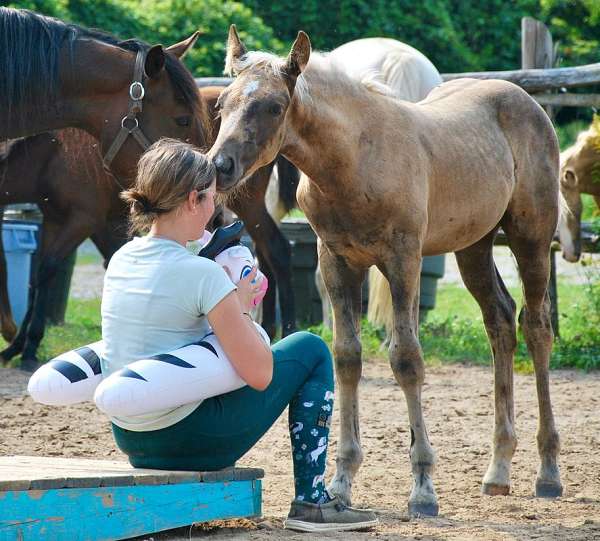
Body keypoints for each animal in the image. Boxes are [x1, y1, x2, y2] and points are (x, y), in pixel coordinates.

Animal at [210, 28, 564, 516]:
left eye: (274, 107)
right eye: (222, 104)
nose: (218, 166)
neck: (353, 162)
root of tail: (526, 100)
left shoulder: (403, 260)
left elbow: (407, 359)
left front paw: (423, 488)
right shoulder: (336, 262)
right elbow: (346, 358)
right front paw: (341, 482)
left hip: (531, 236)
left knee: (536, 325)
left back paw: (547, 471)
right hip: (474, 244)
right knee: (500, 321)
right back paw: (498, 469)